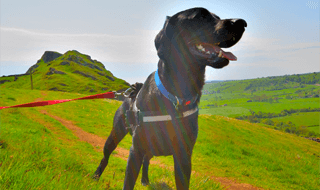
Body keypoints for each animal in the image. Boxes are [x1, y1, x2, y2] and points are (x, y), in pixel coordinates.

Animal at [93, 7, 248, 189]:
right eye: (200, 16)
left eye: (217, 16)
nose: (242, 23)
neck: (177, 96)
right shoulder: (136, 150)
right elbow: (128, 183)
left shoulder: (184, 155)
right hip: (116, 134)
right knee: (106, 156)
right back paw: (96, 176)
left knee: (147, 160)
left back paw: (145, 180)